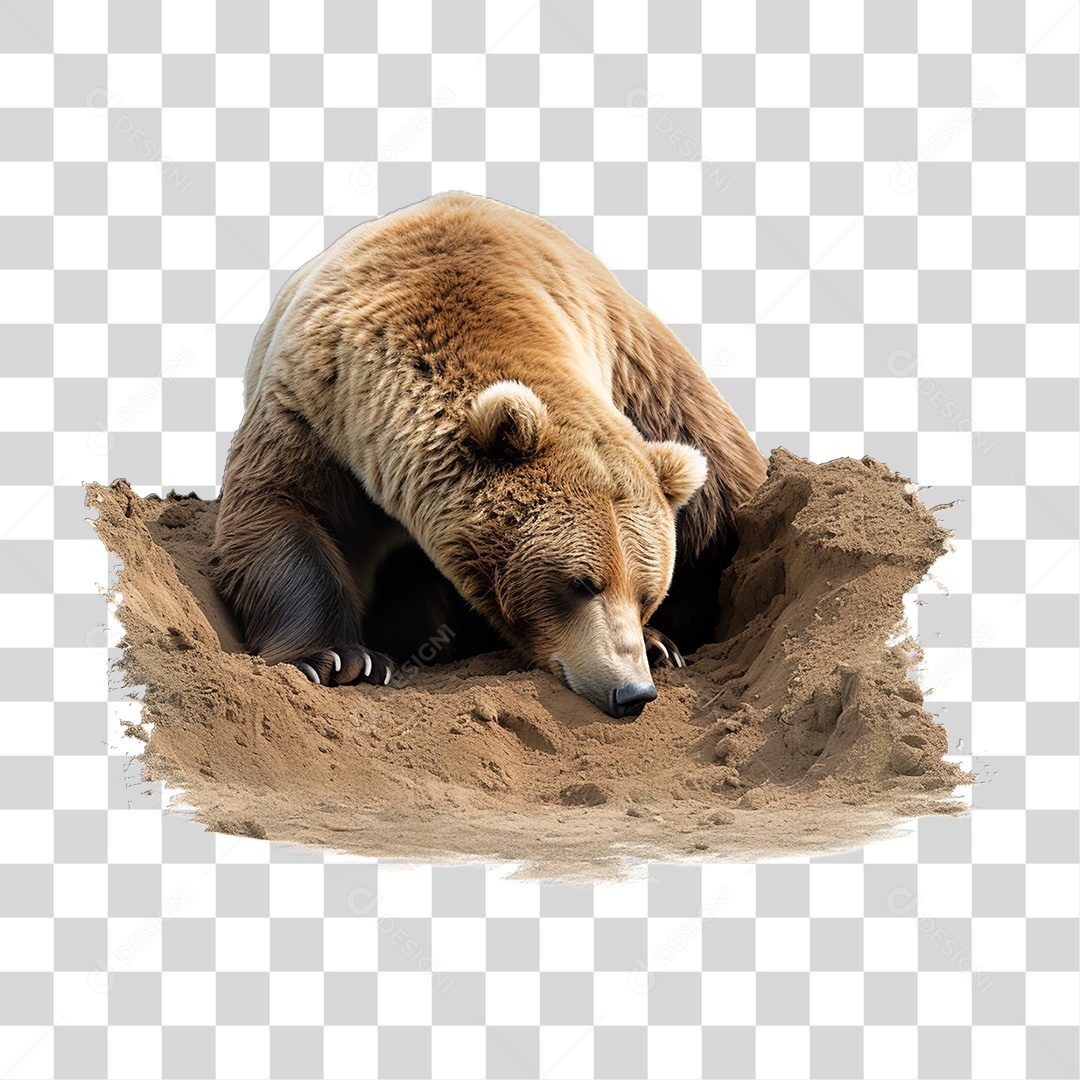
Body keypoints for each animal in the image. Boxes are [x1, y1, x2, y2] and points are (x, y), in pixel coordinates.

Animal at [210, 192, 767, 718]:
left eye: (649, 594)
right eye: (580, 583)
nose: (632, 692)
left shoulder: (643, 377)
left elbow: (720, 504)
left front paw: (658, 644)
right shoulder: (314, 408)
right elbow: (282, 510)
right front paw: (339, 659)